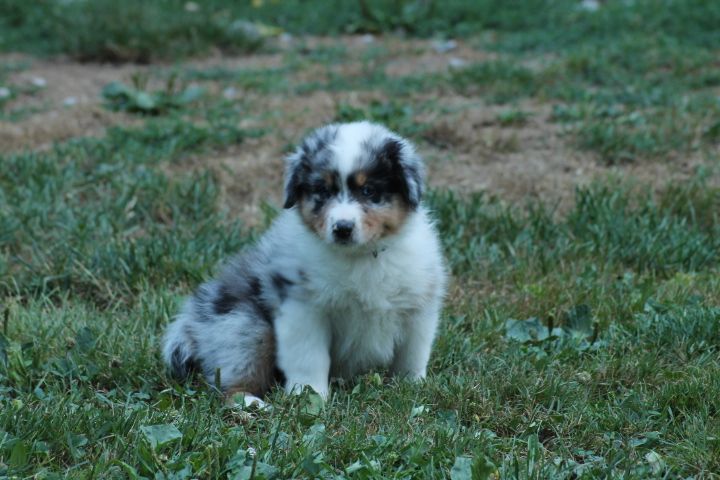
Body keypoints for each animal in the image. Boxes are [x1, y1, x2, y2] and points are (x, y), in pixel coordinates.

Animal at [163, 122, 448, 404]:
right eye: (323, 191)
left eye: (369, 191)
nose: (342, 229)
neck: (360, 256)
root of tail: (192, 323)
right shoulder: (303, 308)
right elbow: (309, 357)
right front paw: (309, 396)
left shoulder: (418, 306)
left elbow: (412, 354)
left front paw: (412, 388)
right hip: (244, 327)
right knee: (230, 384)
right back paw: (255, 404)